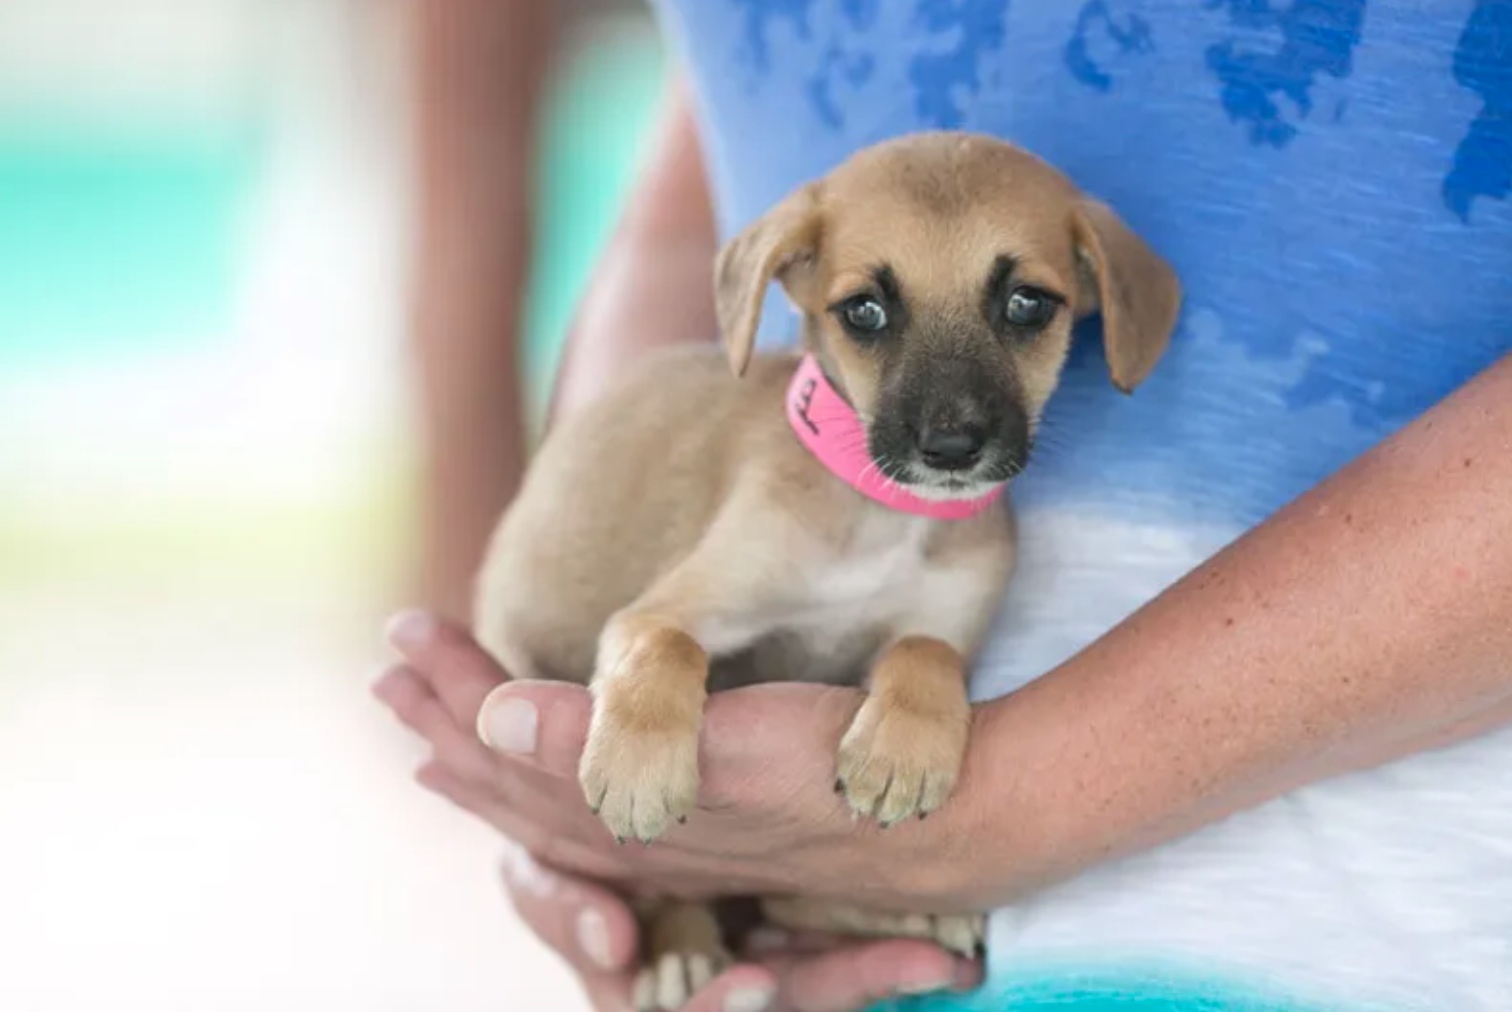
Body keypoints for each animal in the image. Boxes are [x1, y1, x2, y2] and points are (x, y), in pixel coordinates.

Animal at [474, 132, 1179, 1010]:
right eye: (864, 311)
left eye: (1027, 304)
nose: (951, 447)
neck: (885, 515)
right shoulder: (670, 607)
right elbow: (668, 647)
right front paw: (638, 768)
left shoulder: (942, 625)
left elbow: (923, 651)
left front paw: (900, 749)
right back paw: (682, 949)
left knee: (789, 897)